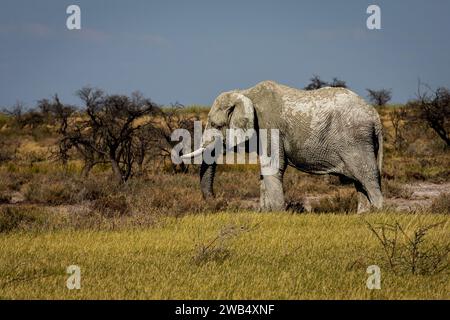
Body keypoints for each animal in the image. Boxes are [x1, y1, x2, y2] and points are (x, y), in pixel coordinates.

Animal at [183, 81, 384, 214]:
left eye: (216, 125)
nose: (217, 201)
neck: (244, 93)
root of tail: (375, 116)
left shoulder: (269, 126)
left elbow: (273, 167)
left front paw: (279, 214)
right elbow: (264, 171)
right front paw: (265, 213)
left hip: (356, 140)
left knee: (367, 175)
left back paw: (378, 212)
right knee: (360, 180)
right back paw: (363, 215)